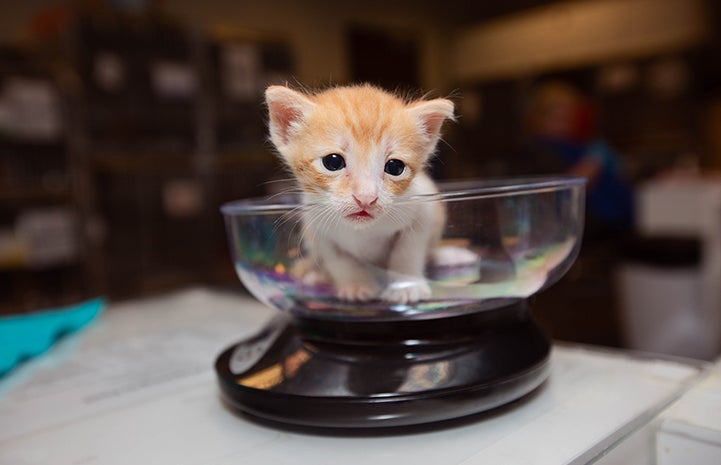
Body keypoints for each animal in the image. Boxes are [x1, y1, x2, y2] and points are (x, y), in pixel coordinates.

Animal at [264, 84, 456, 304]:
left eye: (395, 167)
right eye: (333, 162)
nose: (366, 198)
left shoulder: (423, 209)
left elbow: (407, 252)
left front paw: (407, 286)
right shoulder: (316, 225)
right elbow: (340, 260)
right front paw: (357, 286)